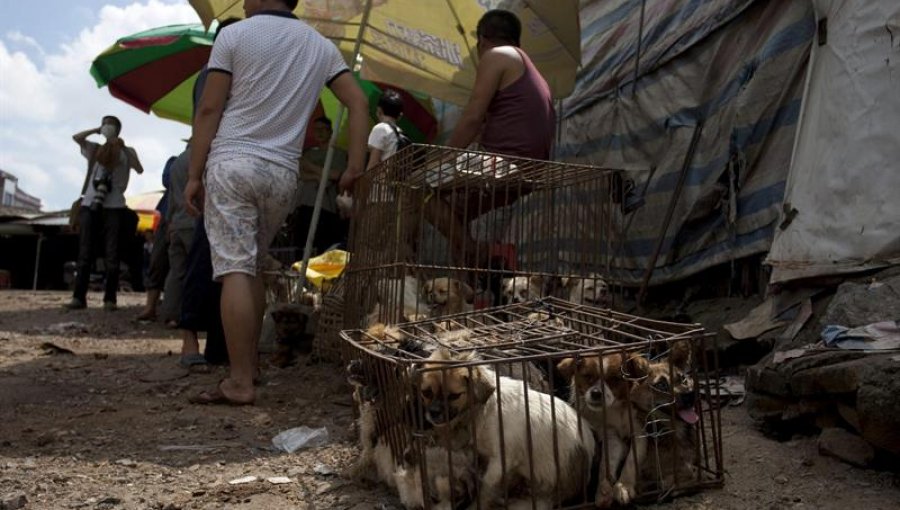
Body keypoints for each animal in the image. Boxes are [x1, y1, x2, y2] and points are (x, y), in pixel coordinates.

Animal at [416, 348, 596, 508]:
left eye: (454, 396)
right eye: (426, 393)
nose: (433, 413)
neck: (483, 410)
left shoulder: (501, 460)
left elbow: (486, 488)